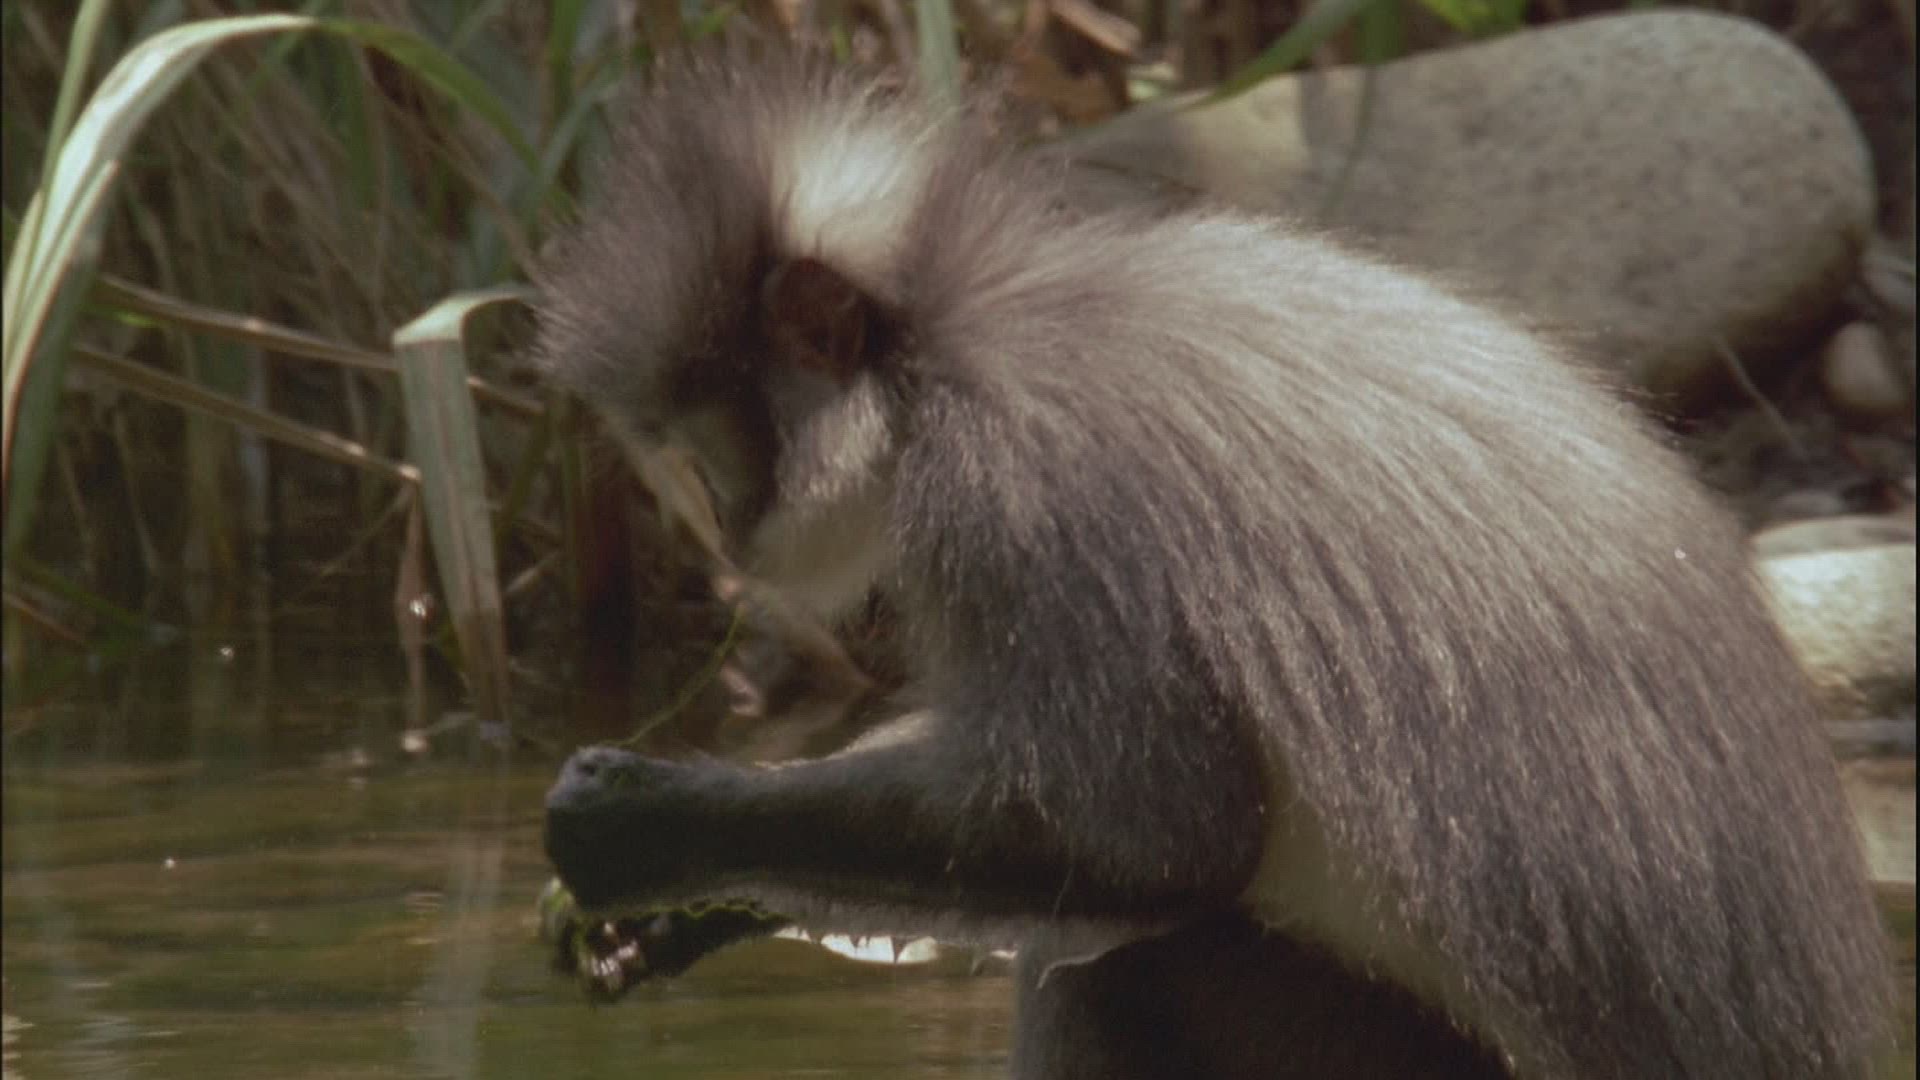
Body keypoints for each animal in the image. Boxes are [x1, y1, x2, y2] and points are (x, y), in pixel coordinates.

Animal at [535, 43, 1895, 1080]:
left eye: (707, 437)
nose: (718, 522)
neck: (958, 339)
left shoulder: (1029, 493)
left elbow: (1156, 835)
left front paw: (649, 821)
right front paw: (683, 907)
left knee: (1122, 957)